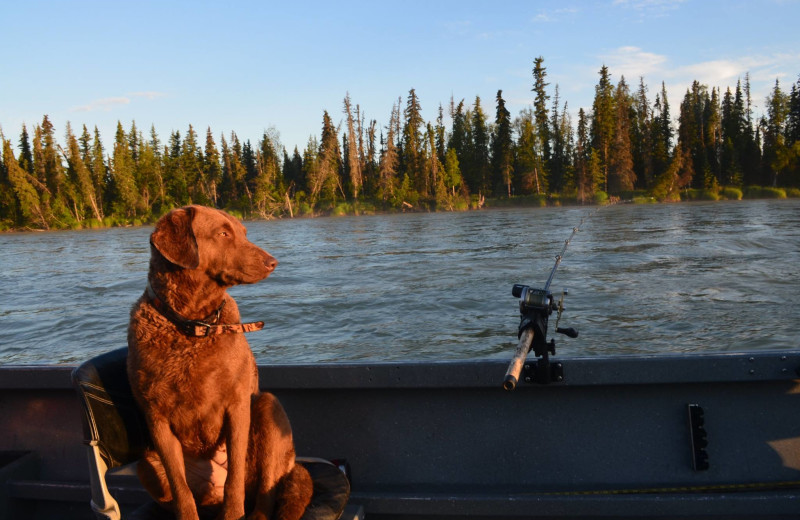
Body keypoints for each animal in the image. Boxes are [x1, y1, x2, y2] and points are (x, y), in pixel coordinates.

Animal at [127, 206, 312, 520]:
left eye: (243, 232)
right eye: (223, 233)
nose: (272, 262)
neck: (194, 327)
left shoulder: (236, 405)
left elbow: (234, 477)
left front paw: (233, 514)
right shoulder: (156, 417)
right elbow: (180, 487)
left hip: (268, 409)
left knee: (266, 489)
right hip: (145, 463)